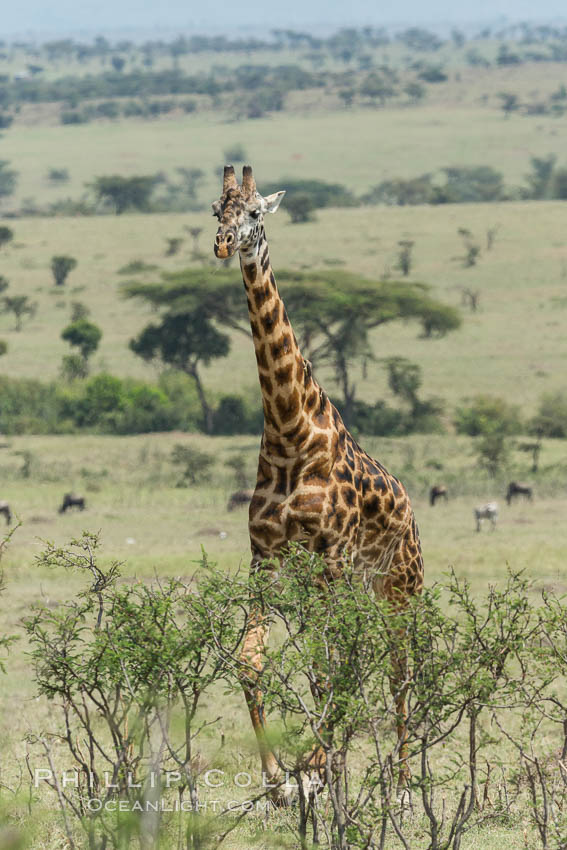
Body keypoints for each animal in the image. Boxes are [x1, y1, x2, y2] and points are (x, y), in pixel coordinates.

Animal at [214, 164, 426, 796]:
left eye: (255, 213)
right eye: (216, 211)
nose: (224, 244)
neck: (288, 430)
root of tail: (411, 509)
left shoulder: (331, 556)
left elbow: (329, 664)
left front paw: (312, 765)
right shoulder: (266, 556)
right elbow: (252, 658)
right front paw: (278, 776)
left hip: (398, 587)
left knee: (399, 669)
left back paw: (402, 781)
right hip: (347, 584)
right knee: (351, 658)